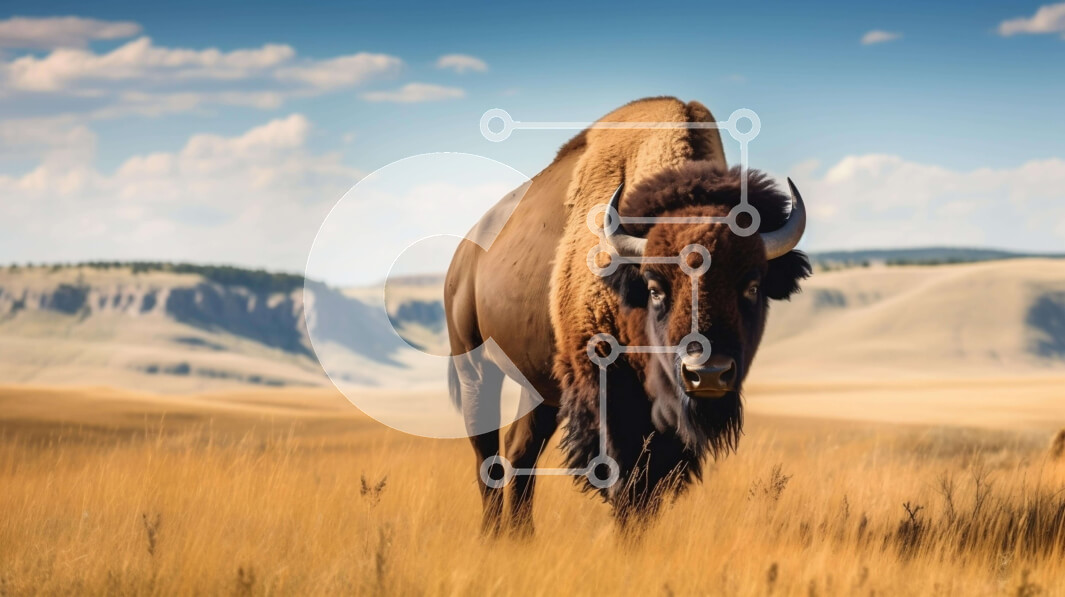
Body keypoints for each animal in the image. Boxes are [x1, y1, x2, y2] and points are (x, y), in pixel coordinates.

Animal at [444, 97, 811, 536]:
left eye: (752, 287)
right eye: (655, 288)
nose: (706, 374)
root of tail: (464, 255)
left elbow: (652, 483)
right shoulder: (609, 392)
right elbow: (628, 480)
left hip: (541, 388)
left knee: (520, 449)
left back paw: (519, 537)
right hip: (474, 368)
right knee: (486, 452)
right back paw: (492, 535)